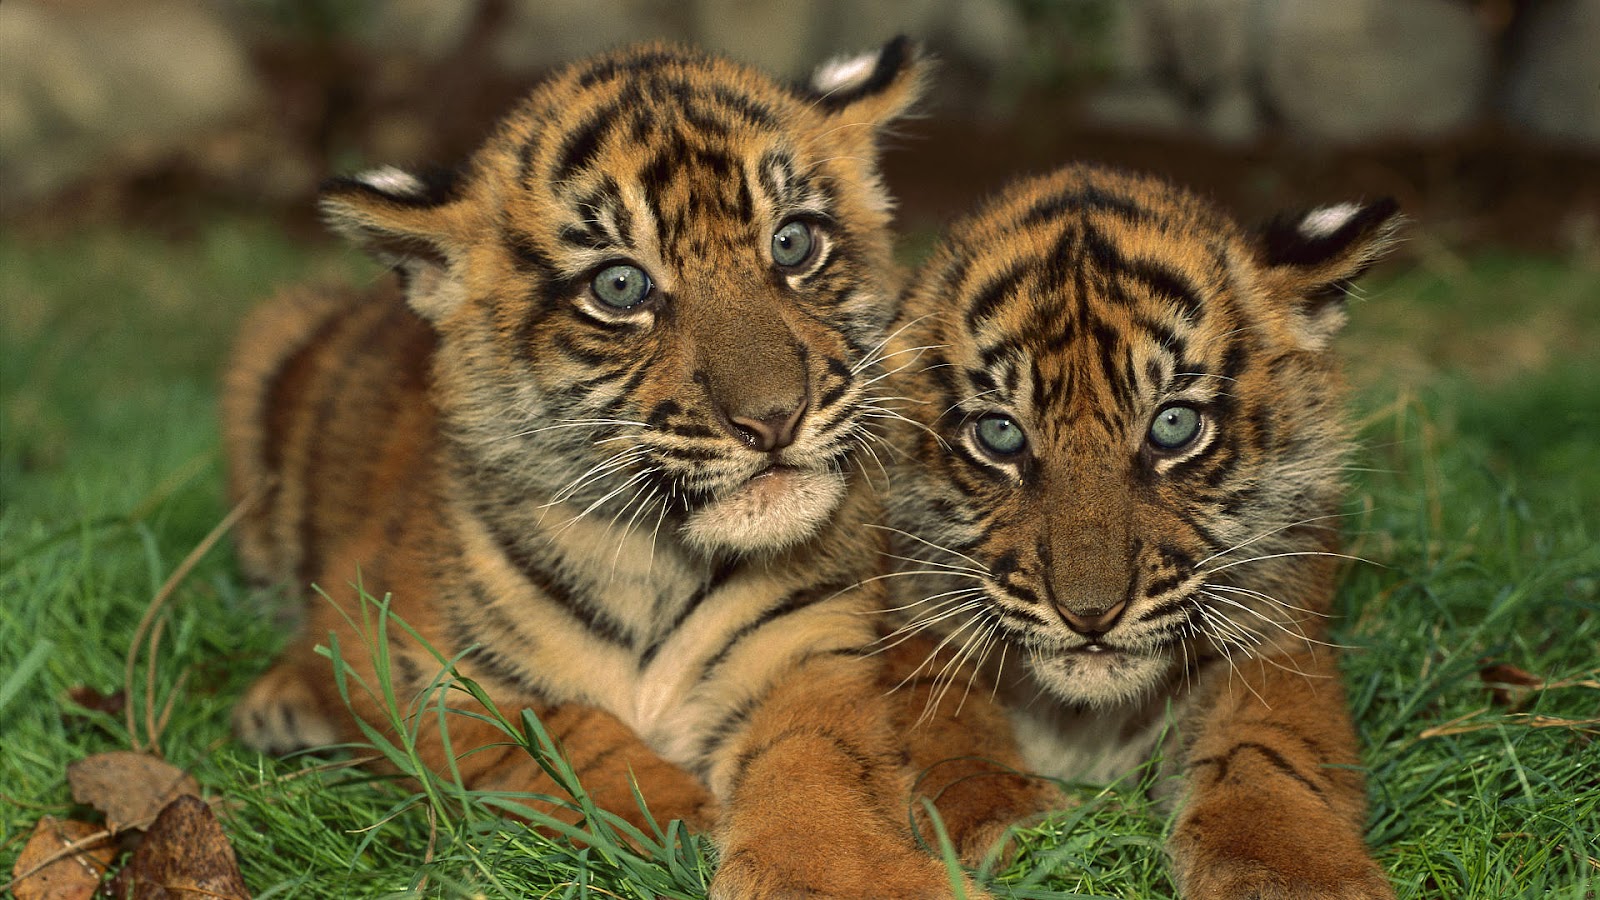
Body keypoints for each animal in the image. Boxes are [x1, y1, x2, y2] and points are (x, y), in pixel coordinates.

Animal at [223, 39, 973, 898]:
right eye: (621, 286)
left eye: (792, 243)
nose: (775, 419)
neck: (657, 562)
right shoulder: (404, 654)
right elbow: (558, 730)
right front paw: (682, 817)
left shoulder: (811, 647)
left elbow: (819, 763)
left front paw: (848, 874)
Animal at [877, 163, 1401, 898]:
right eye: (1000, 433)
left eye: (1173, 425)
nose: (1090, 616)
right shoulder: (906, 630)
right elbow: (948, 730)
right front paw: (1011, 831)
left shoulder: (1281, 643)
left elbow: (1265, 752)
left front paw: (1294, 874)